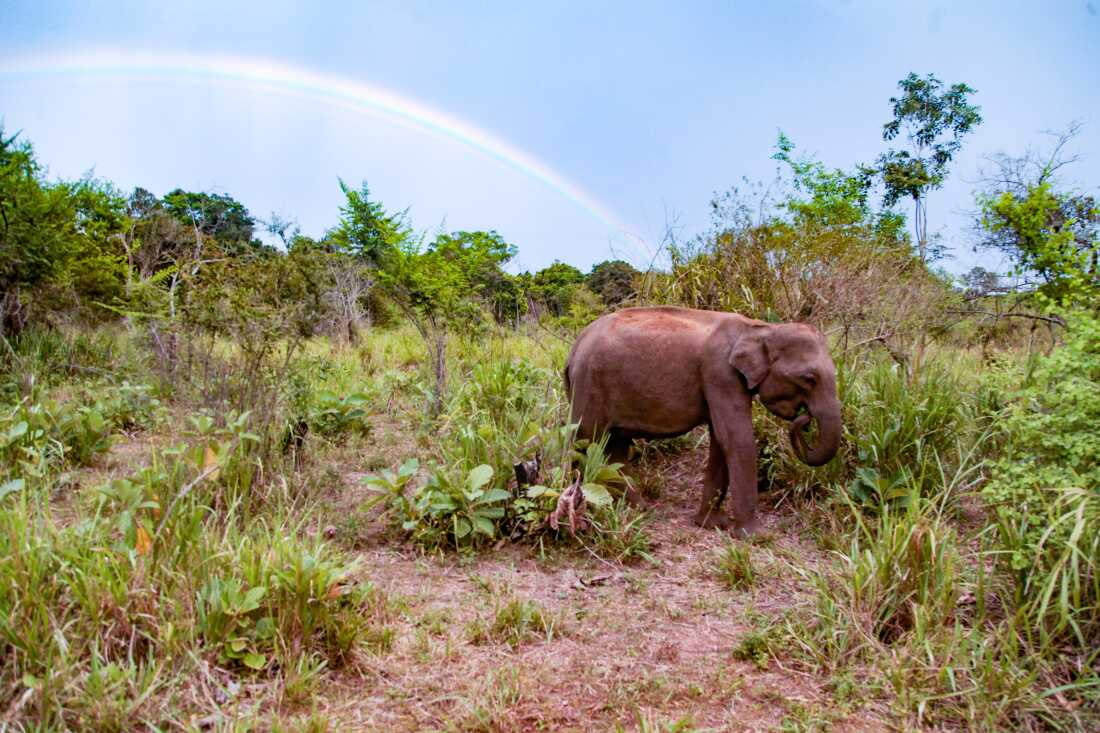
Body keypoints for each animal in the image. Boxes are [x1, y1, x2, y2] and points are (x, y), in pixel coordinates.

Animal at [564, 306, 841, 536]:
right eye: (809, 379)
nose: (804, 418)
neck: (760, 328)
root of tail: (574, 349)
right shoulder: (720, 374)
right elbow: (737, 439)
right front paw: (755, 537)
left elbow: (721, 440)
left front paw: (711, 524)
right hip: (589, 385)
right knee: (584, 440)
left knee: (615, 447)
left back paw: (637, 507)